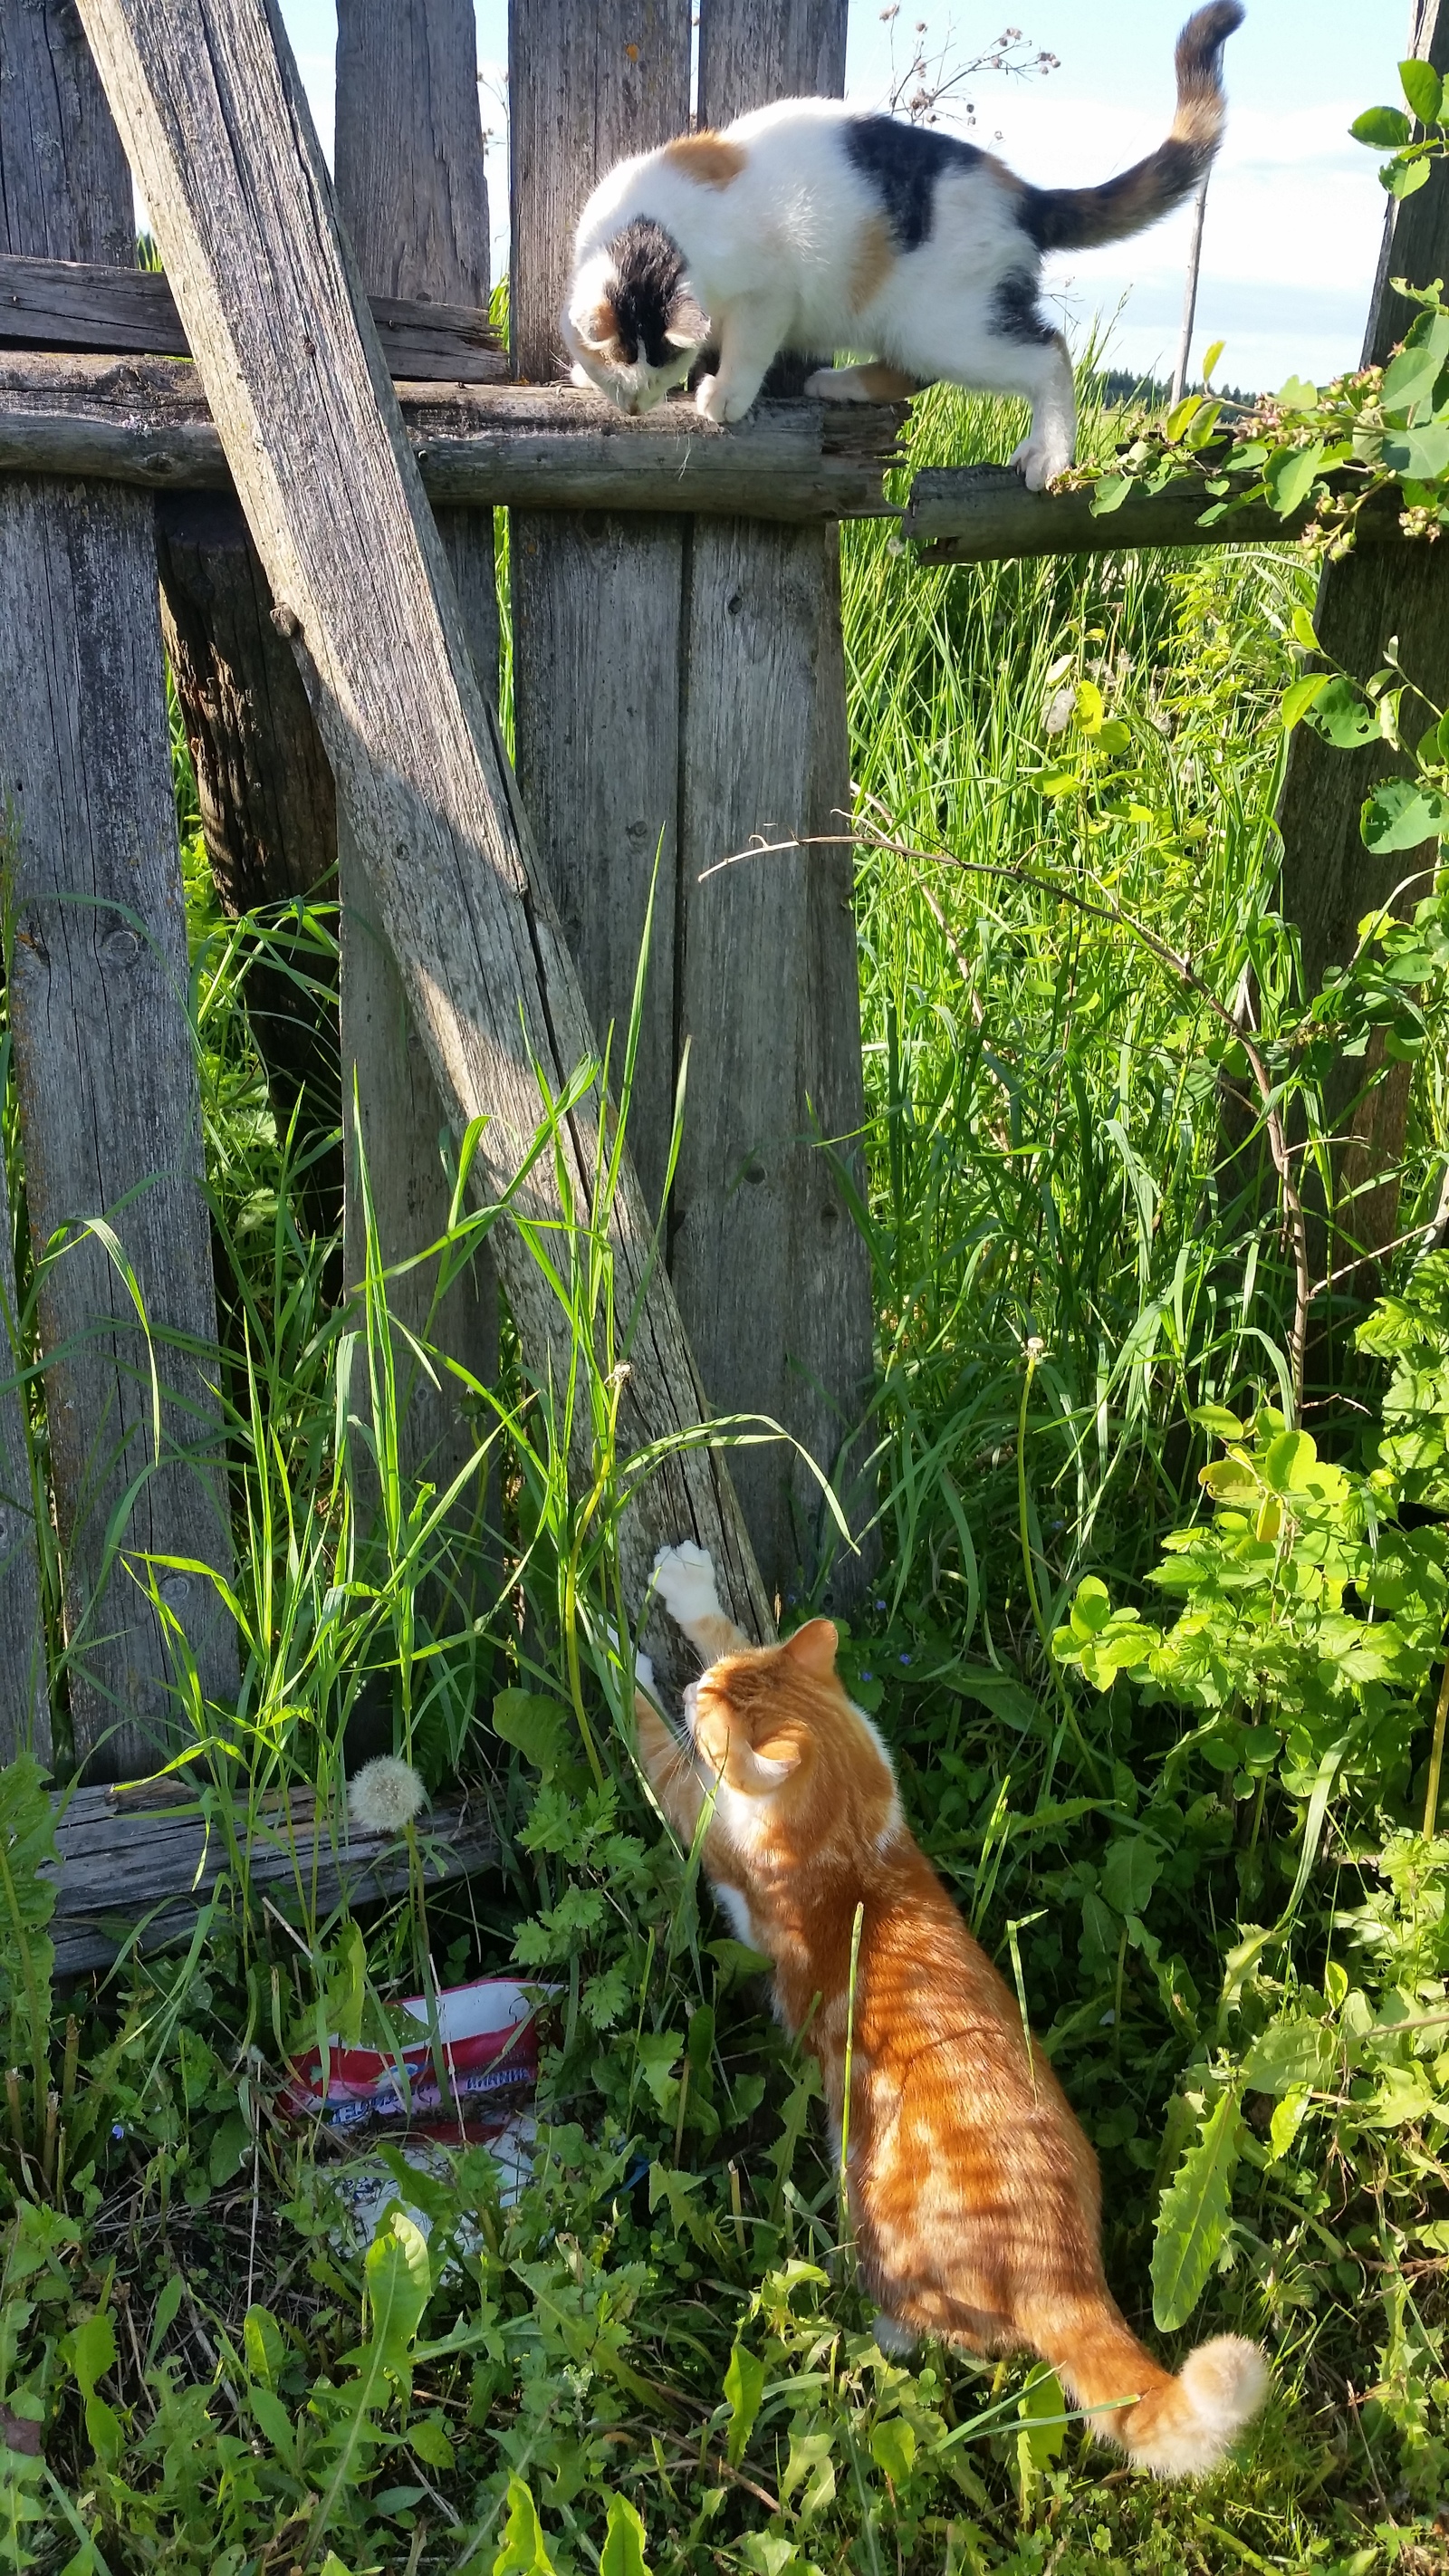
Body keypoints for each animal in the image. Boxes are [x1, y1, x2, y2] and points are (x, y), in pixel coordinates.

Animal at [561, 1, 1240, 486]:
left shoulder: (770, 293)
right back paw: (838, 384)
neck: (652, 232)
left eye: (660, 364)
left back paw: (1049, 452)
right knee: (917, 372)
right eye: (626, 364)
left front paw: (724, 395)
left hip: (946, 324)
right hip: (915, 327)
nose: (634, 408)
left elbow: (750, 345)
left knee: (1047, 350)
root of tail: (1022, 193)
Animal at [635, 1535, 1271, 2483]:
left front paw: (626, 1664)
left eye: (710, 1717)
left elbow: (654, 1752)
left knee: (931, 2335)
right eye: (713, 1687)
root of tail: (1066, 2274)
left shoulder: (706, 1820)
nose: (690, 1692)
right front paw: (688, 1592)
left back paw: (875, 2331)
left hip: (886, 2242)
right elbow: (728, 1627)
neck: (857, 1835)